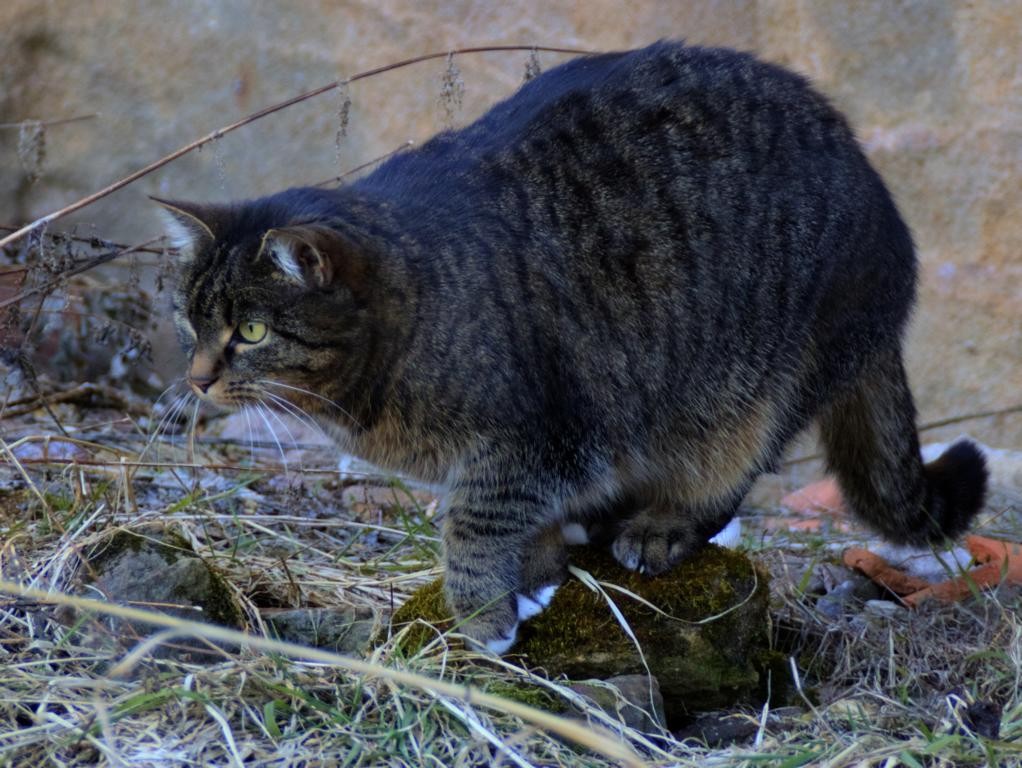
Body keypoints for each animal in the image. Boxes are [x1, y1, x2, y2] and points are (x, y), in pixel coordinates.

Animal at [159, 41, 989, 650]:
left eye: (251, 331)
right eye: (190, 321)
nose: (196, 378)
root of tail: (885, 212)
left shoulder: (539, 437)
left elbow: (475, 520)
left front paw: (483, 616)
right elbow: (518, 523)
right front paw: (531, 579)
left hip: (762, 384)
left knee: (726, 481)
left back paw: (658, 527)